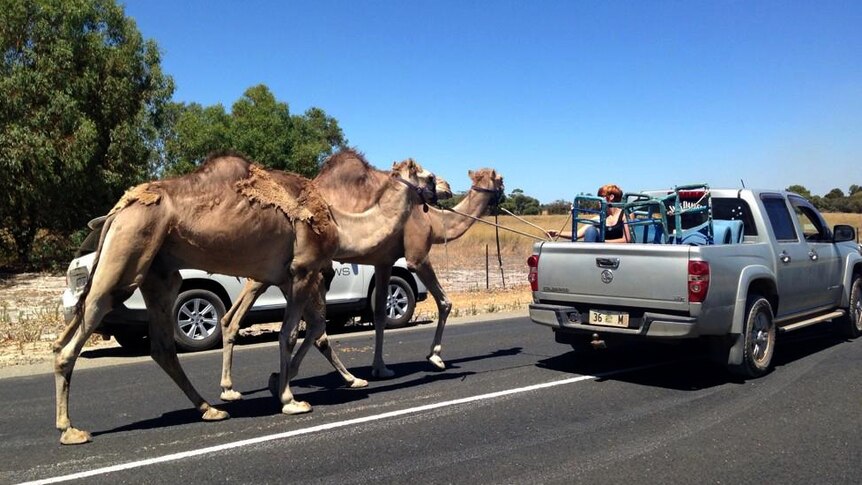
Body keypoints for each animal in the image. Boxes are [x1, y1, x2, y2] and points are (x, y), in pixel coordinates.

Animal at [50, 153, 436, 444]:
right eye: (429, 177)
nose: (442, 190)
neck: (340, 225)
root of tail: (118, 209)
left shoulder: (290, 277)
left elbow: (313, 329)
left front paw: (282, 384)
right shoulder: (305, 270)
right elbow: (293, 333)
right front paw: (290, 399)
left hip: (160, 274)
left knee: (160, 346)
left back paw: (210, 408)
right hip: (128, 250)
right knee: (80, 331)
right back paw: (70, 429)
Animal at [219, 161, 506, 398]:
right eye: (501, 178)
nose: (447, 187)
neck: (435, 222)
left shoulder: (384, 261)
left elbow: (378, 314)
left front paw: (380, 368)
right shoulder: (416, 257)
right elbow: (444, 302)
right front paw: (435, 358)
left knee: (233, 316)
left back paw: (232, 388)